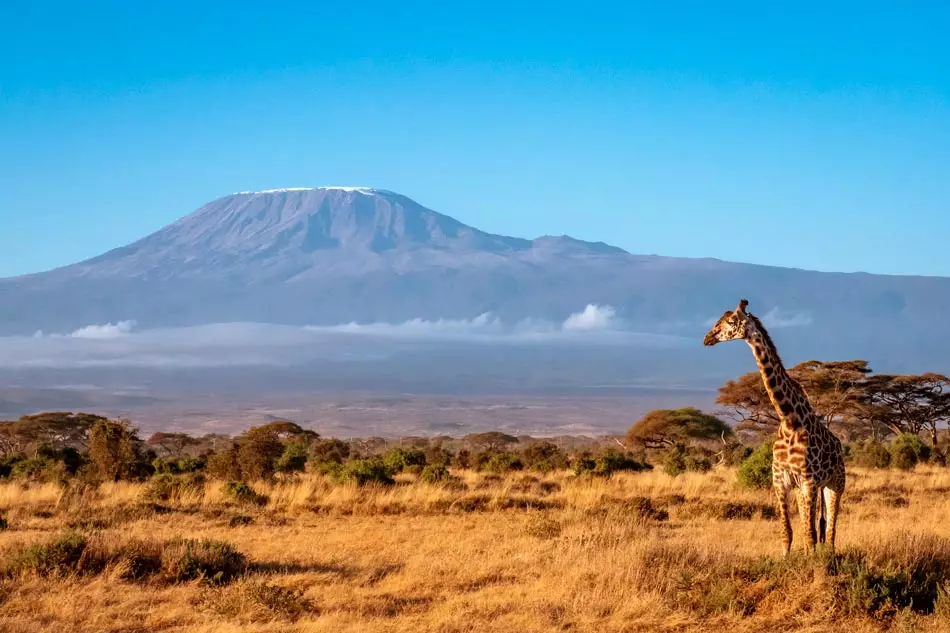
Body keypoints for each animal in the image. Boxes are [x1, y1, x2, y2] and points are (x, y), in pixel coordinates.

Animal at [708, 298, 848, 556]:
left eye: (730, 322)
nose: (707, 338)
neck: (790, 419)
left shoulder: (809, 479)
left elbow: (811, 533)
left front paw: (814, 563)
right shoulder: (780, 480)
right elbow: (789, 532)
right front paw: (787, 558)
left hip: (835, 483)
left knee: (831, 528)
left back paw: (830, 555)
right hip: (809, 488)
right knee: (815, 526)